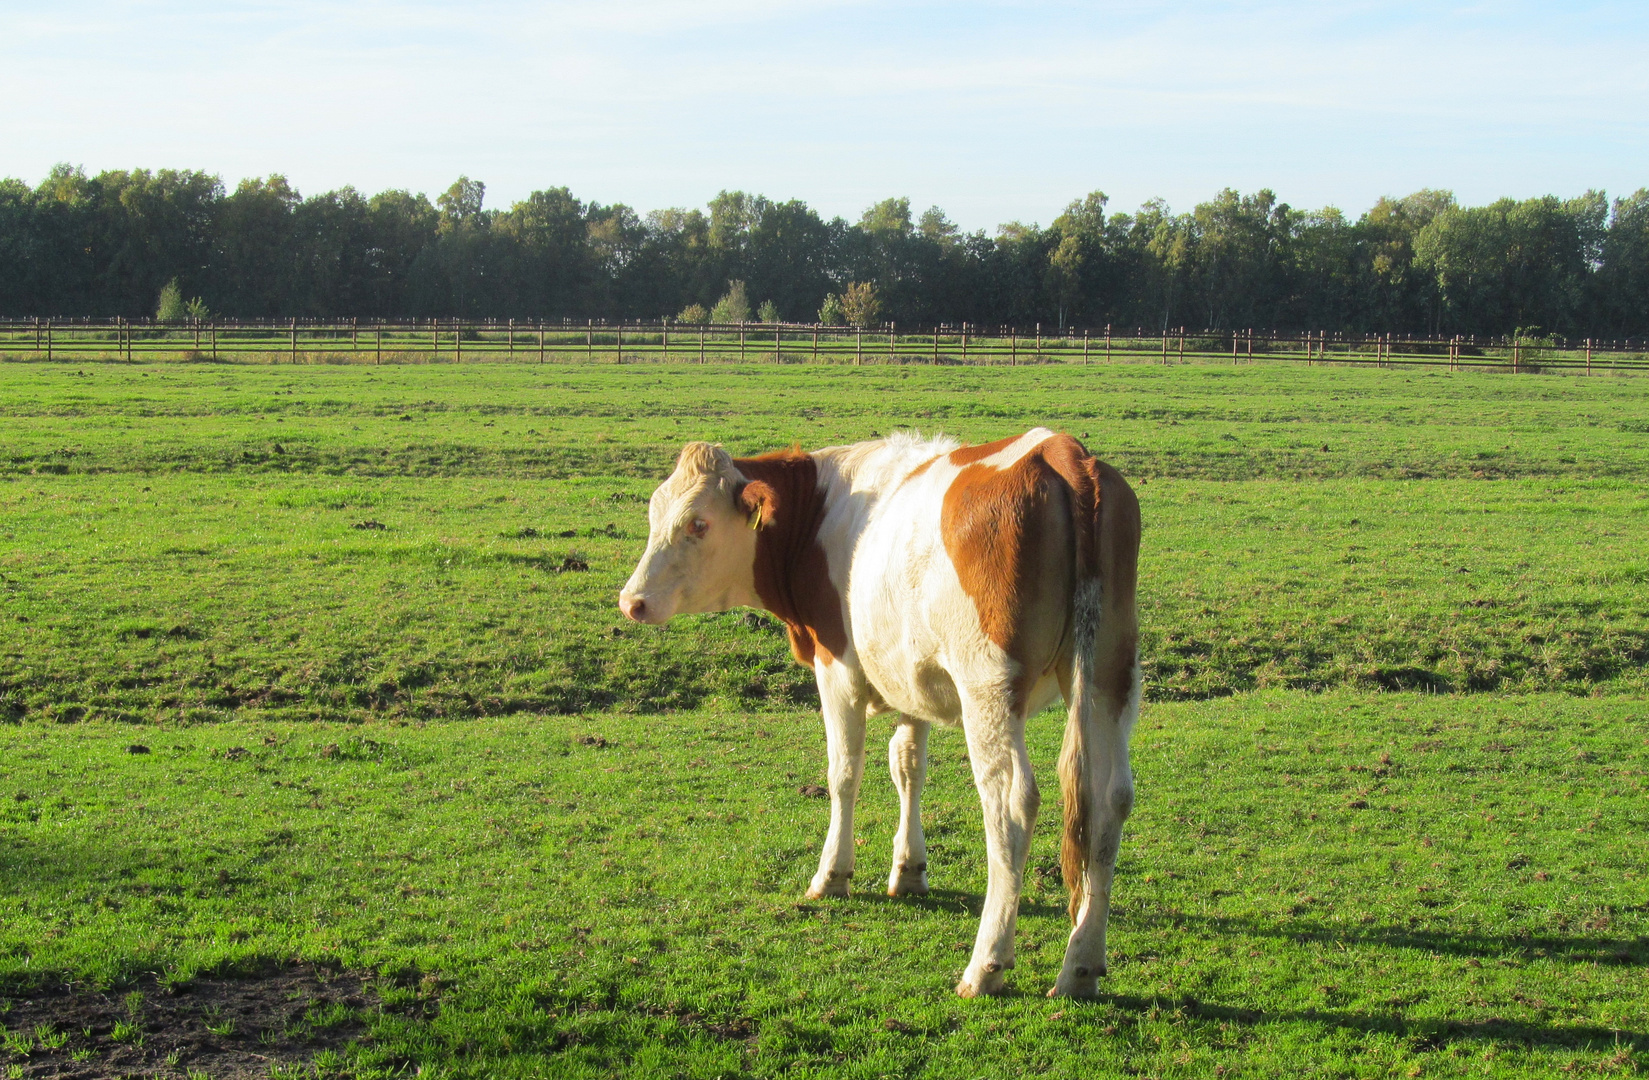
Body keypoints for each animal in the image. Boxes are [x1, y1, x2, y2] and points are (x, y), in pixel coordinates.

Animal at [613, 428, 1141, 995]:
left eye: (698, 523)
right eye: (654, 515)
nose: (632, 601)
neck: (816, 512)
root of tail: (1059, 450)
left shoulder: (837, 667)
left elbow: (844, 773)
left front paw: (832, 875)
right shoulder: (914, 677)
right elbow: (908, 765)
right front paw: (909, 870)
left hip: (989, 686)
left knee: (1011, 805)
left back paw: (987, 963)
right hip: (1111, 673)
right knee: (1111, 800)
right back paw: (1081, 963)